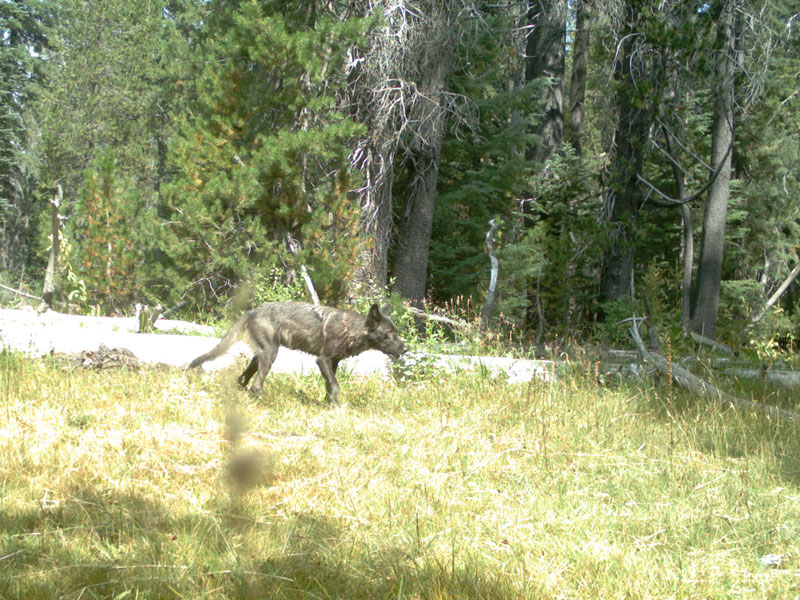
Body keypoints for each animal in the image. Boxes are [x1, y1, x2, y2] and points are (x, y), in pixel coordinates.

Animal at [188, 301, 406, 404]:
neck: (352, 330)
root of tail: (252, 311)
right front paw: (336, 407)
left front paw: (327, 404)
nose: (405, 349)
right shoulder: (323, 360)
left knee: (243, 378)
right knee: (256, 384)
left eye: (396, 332)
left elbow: (329, 385)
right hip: (270, 355)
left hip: (260, 356)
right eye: (389, 334)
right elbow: (335, 385)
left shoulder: (333, 363)